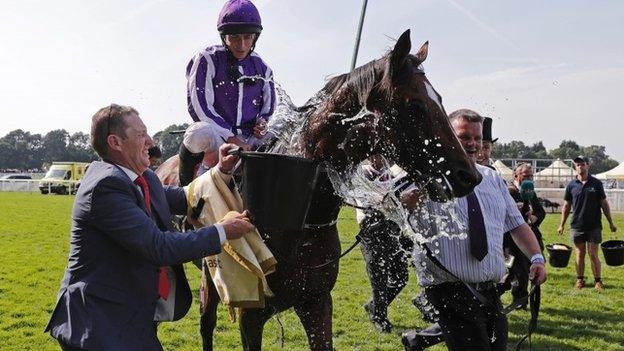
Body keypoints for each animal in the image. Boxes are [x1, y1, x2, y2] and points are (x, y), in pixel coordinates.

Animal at [157, 30, 482, 351]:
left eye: (439, 99)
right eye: (414, 106)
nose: (469, 176)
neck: (297, 222)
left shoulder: (316, 302)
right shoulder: (251, 313)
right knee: (205, 325)